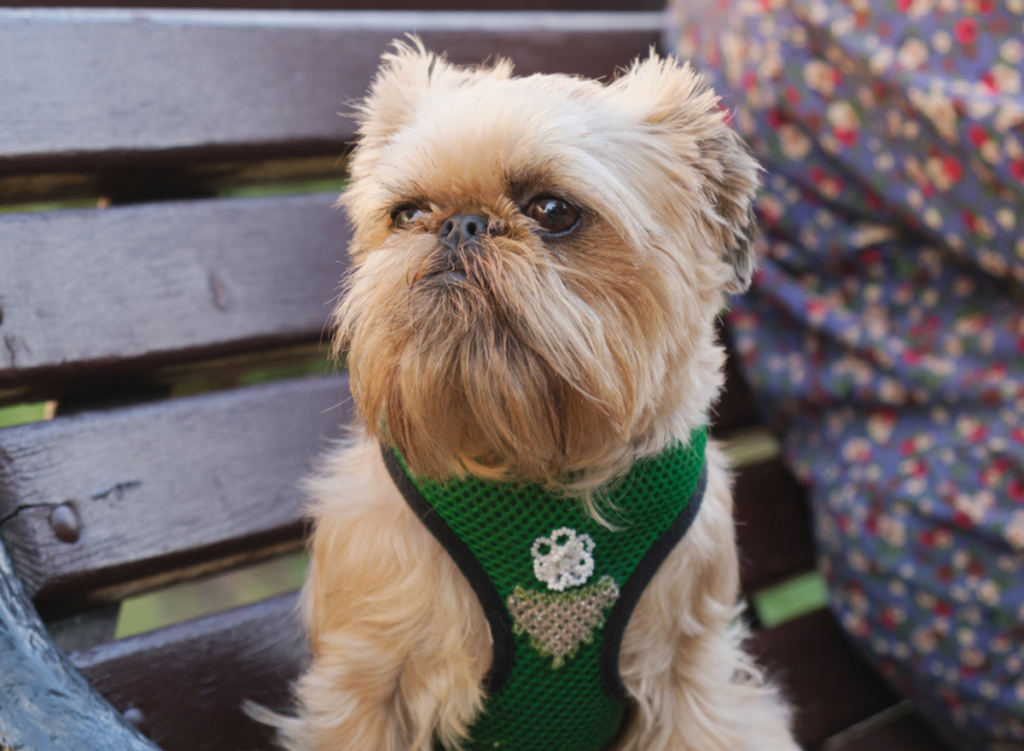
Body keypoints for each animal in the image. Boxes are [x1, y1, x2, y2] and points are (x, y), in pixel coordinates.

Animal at [268, 39, 794, 749]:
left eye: (553, 211)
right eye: (407, 214)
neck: (529, 463)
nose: (460, 225)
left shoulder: (693, 687)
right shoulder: (366, 689)